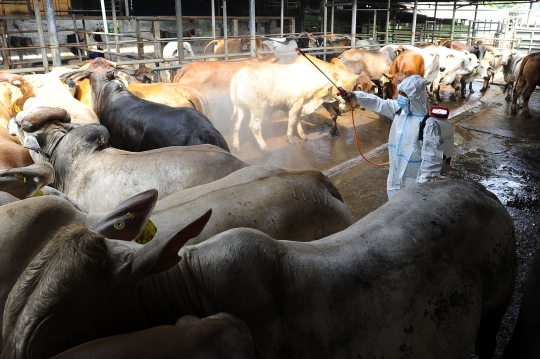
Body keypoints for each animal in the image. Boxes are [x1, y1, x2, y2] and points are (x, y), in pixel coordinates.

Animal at [230, 55, 360, 154]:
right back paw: (264, 148)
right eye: (340, 87)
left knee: (236, 125)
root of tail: (239, 74)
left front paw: (303, 135)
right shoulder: (296, 103)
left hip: (240, 107)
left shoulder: (299, 105)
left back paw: (236, 146)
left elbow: (297, 120)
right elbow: (292, 121)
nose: (347, 102)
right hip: (258, 108)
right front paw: (291, 139)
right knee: (254, 126)